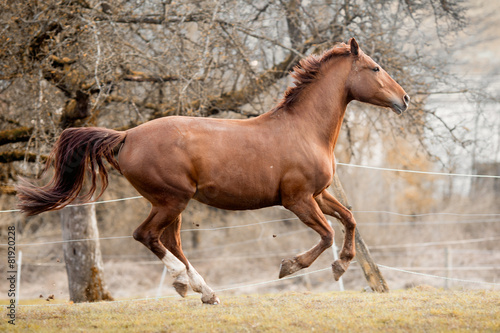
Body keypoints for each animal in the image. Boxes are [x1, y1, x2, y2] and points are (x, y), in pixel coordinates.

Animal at [17, 39, 410, 304]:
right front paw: (290, 266)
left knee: (169, 241)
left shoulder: (319, 194)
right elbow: (328, 233)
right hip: (171, 200)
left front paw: (341, 265)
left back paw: (203, 291)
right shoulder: (297, 199)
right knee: (147, 236)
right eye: (375, 68)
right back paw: (186, 283)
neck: (305, 130)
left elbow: (350, 219)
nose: (404, 99)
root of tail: (126, 136)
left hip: (171, 203)